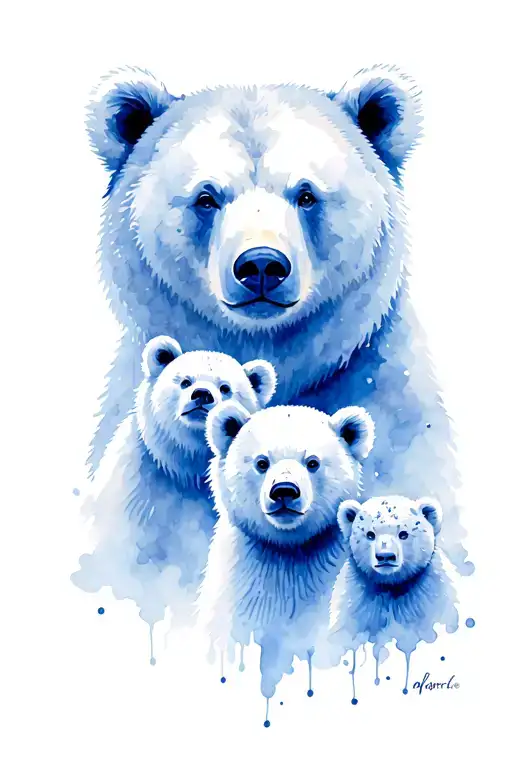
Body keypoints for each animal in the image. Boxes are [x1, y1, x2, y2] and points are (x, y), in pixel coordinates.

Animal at [327, 495, 459, 690]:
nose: (385, 557)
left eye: (403, 533)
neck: (391, 586)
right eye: (370, 534)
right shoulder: (357, 604)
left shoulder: (431, 599)